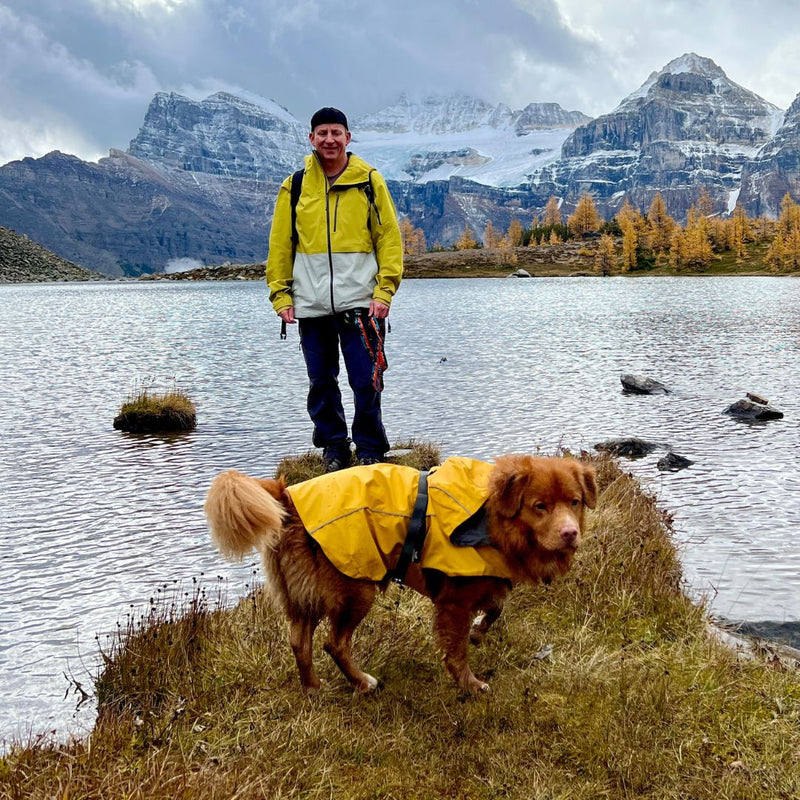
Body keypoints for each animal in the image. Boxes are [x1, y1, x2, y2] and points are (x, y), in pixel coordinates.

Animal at [203, 456, 596, 692]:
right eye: (540, 506)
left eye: (574, 502)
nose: (570, 533)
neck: (491, 518)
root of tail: (285, 497)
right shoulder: (453, 600)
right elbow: (457, 650)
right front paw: (469, 684)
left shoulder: (485, 581)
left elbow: (495, 608)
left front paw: (478, 631)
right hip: (354, 588)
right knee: (334, 643)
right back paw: (362, 682)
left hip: (305, 594)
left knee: (300, 642)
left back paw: (313, 688)